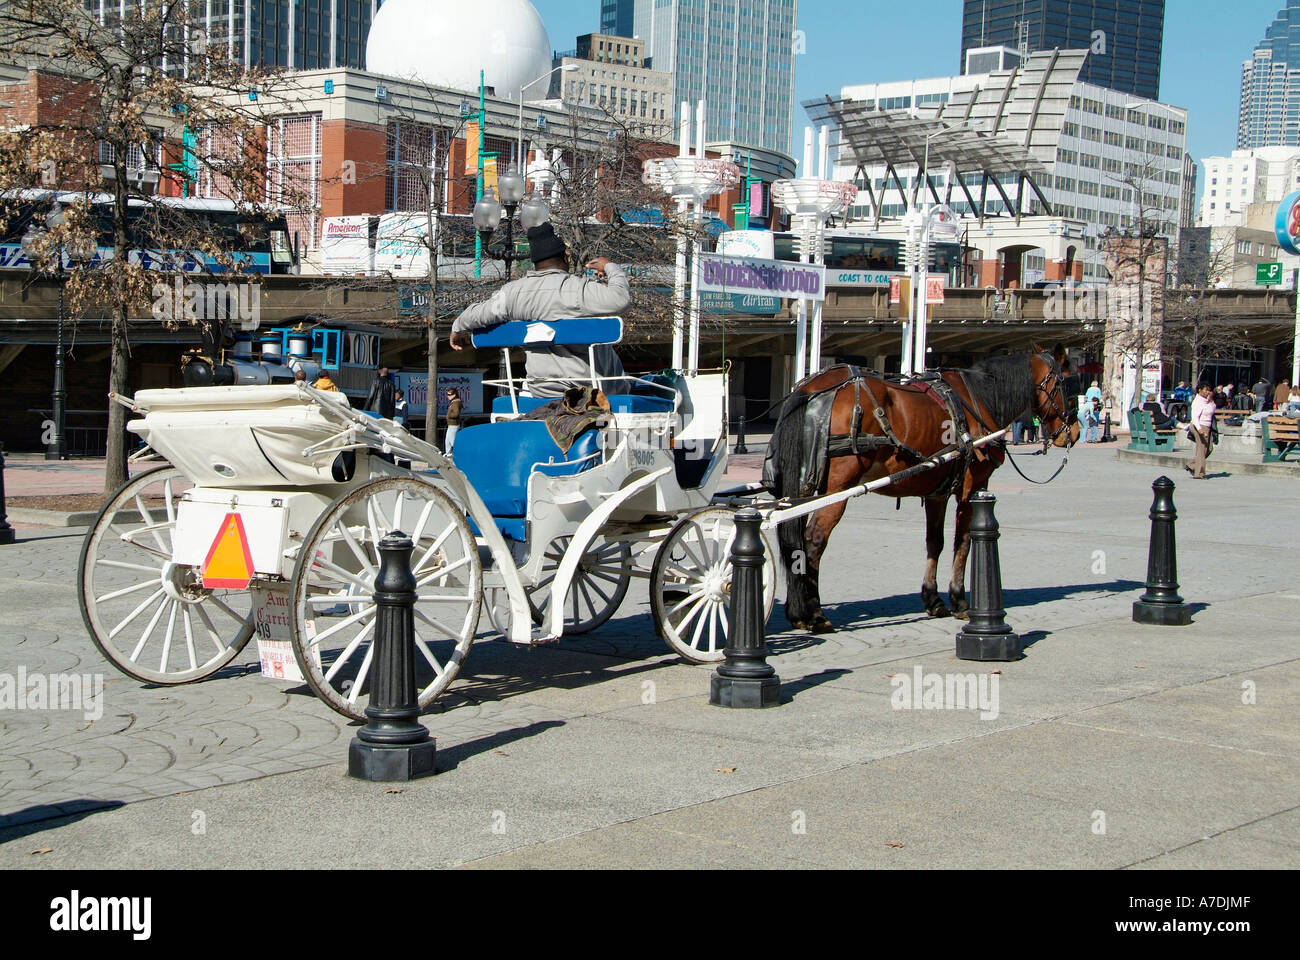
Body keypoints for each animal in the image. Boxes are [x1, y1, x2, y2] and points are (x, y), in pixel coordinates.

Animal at [759, 348, 1076, 632]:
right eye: (1066, 384)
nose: (1071, 433)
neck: (977, 400)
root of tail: (812, 390)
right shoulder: (972, 487)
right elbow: (963, 542)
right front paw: (960, 601)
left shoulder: (937, 492)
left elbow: (935, 542)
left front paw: (933, 599)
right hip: (836, 490)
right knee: (813, 542)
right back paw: (815, 614)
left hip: (801, 488)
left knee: (796, 542)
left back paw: (798, 612)